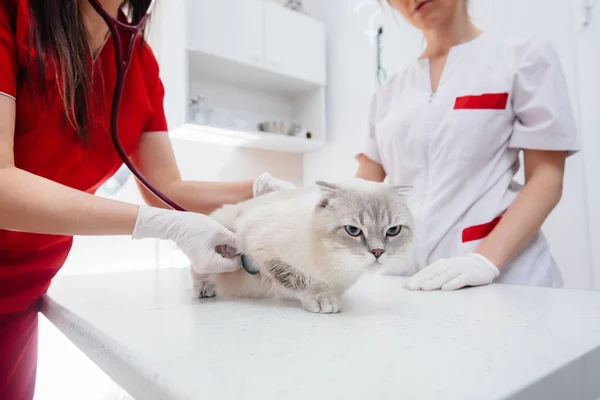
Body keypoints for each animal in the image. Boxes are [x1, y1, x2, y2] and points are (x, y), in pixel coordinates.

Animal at [190, 178, 414, 312]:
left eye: (393, 230)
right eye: (353, 230)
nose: (378, 251)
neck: (337, 264)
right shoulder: (261, 249)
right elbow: (298, 279)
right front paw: (321, 298)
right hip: (221, 224)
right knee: (197, 272)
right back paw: (205, 288)